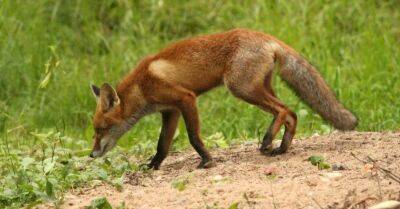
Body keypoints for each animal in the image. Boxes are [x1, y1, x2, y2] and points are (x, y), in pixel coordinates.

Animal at [89, 28, 358, 168]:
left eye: (101, 129)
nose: (91, 154)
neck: (142, 86)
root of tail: (266, 35)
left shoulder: (186, 99)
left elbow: (193, 137)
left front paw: (207, 160)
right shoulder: (170, 110)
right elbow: (162, 144)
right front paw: (153, 166)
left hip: (241, 88)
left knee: (283, 110)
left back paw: (268, 141)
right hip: (260, 87)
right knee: (291, 113)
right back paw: (281, 148)